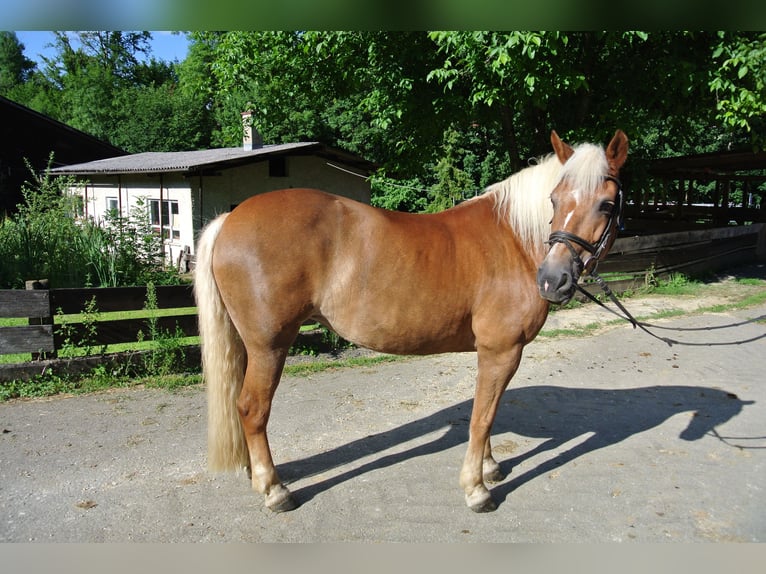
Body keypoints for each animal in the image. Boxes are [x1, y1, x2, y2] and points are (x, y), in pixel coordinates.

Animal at [196, 129, 632, 512]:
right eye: (555, 199)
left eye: (606, 205)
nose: (552, 280)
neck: (514, 239)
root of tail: (229, 220)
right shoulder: (502, 350)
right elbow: (482, 417)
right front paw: (477, 489)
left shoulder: (490, 353)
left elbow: (486, 412)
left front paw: (490, 467)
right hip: (268, 346)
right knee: (252, 408)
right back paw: (274, 490)